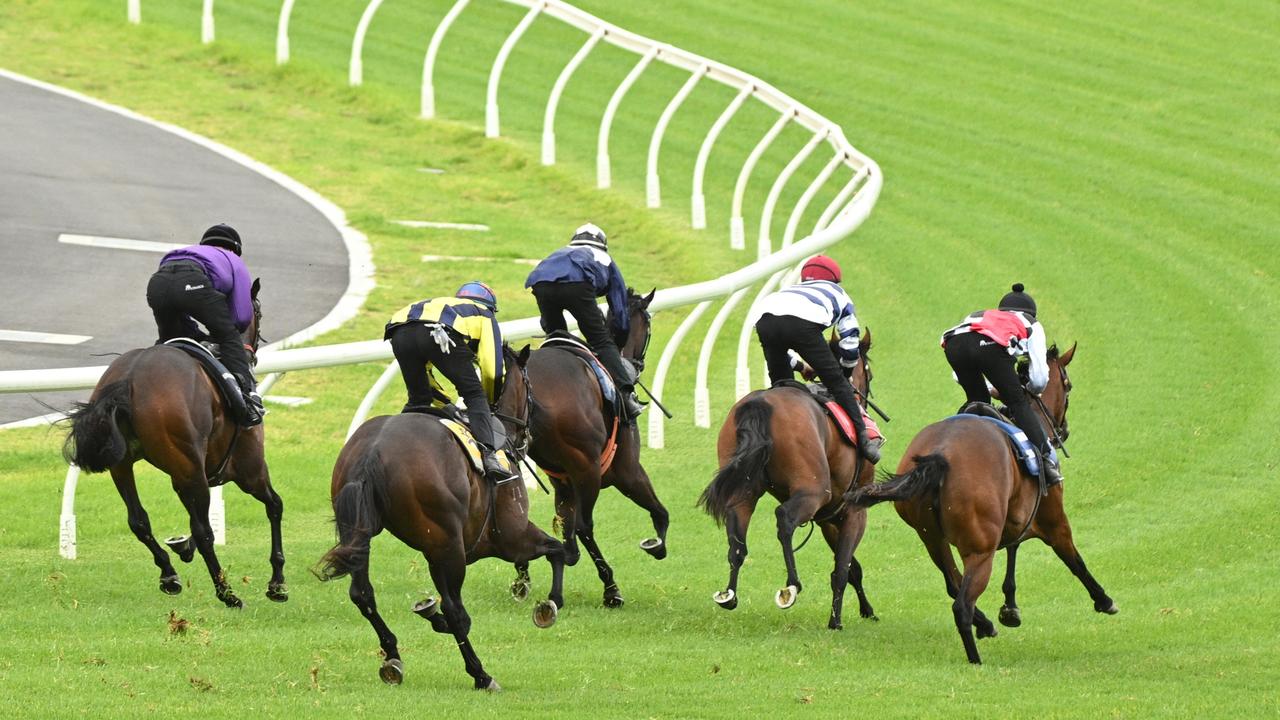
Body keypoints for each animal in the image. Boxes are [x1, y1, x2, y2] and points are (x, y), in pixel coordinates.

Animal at [63, 278, 285, 602]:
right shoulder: (249, 469)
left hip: (124, 465)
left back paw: (169, 574)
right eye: (258, 311)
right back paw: (226, 592)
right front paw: (277, 582)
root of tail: (129, 379)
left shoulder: (187, 475)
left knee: (139, 521)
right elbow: (275, 506)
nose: (253, 351)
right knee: (204, 531)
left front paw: (181, 545)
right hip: (193, 468)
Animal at [316, 343, 560, 691]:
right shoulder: (511, 536)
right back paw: (481, 674)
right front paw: (549, 604)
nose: (529, 435)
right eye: (529, 386)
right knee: (455, 610)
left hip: (362, 534)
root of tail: (370, 454)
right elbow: (559, 551)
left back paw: (393, 656)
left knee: (362, 594)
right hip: (449, 547)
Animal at [529, 285, 670, 604]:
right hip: (588, 470)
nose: (637, 366)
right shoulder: (628, 471)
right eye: (649, 325)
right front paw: (656, 545)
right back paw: (611, 588)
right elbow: (660, 512)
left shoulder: (563, 483)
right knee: (585, 526)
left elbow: (565, 528)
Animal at [701, 327, 880, 625]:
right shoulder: (854, 511)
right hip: (813, 491)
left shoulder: (829, 517)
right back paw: (791, 586)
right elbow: (843, 568)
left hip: (743, 490)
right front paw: (836, 621)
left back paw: (729, 594)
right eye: (870, 373)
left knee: (737, 542)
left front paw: (866, 610)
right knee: (784, 518)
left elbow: (850, 567)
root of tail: (759, 404)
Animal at [855, 340, 1116, 661]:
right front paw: (1103, 599)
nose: (1063, 430)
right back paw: (976, 658)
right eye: (1068, 386)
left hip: (932, 538)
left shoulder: (1015, 517)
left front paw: (1010, 608)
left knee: (953, 583)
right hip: (980, 549)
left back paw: (986, 624)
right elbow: (1074, 559)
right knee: (961, 604)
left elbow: (1014, 547)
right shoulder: (1053, 520)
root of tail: (940, 455)